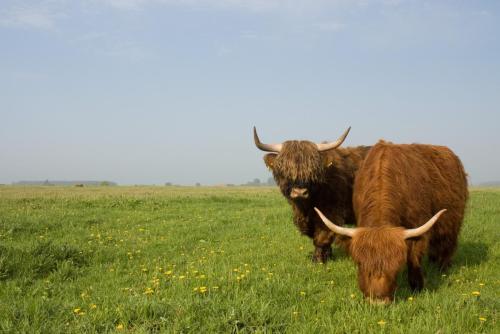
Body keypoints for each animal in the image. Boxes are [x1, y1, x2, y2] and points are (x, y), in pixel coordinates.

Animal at [254, 126, 372, 262]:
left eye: (313, 171)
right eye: (284, 170)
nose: (299, 192)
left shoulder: (331, 212)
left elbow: (322, 236)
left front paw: (319, 260)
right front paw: (327, 256)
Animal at [314, 140, 466, 302]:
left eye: (395, 266)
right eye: (360, 264)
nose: (377, 301)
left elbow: (413, 257)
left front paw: (417, 286)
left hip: (452, 222)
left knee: (447, 245)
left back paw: (442, 268)